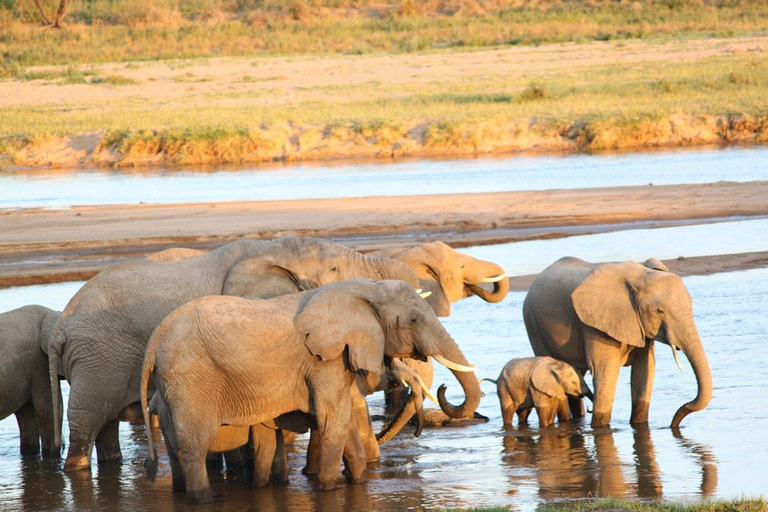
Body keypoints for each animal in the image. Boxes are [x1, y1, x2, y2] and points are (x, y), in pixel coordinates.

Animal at [142, 280, 480, 500]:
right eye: (413, 319)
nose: (444, 386)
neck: (363, 289)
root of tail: (154, 341)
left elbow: (343, 420)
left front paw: (358, 482)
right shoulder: (324, 359)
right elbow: (333, 418)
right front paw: (327, 489)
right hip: (190, 376)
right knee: (195, 445)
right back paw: (204, 499)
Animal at [520, 256, 712, 428]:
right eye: (660, 311)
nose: (673, 424)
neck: (641, 275)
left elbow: (645, 369)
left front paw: (639, 425)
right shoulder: (594, 325)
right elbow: (606, 372)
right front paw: (600, 428)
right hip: (533, 324)